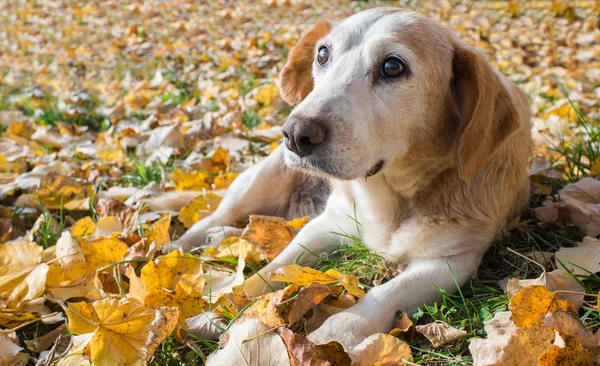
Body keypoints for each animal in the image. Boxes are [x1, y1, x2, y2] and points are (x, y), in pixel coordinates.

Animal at [172, 7, 528, 348]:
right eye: (323, 55)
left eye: (393, 67)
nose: (295, 133)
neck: (387, 196)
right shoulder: (325, 224)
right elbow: (270, 271)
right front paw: (225, 307)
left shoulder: (450, 261)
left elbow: (382, 296)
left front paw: (333, 337)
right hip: (261, 181)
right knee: (218, 216)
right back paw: (180, 247)